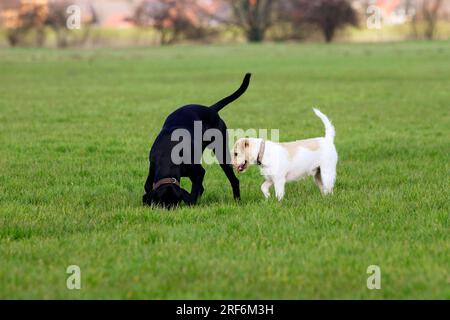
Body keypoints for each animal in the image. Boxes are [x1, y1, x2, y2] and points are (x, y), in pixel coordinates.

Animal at [143, 73, 251, 208]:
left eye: (175, 205)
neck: (167, 156)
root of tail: (211, 109)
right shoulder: (152, 169)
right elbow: (147, 186)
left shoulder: (198, 171)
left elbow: (194, 192)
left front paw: (192, 204)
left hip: (221, 151)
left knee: (234, 180)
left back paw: (237, 200)